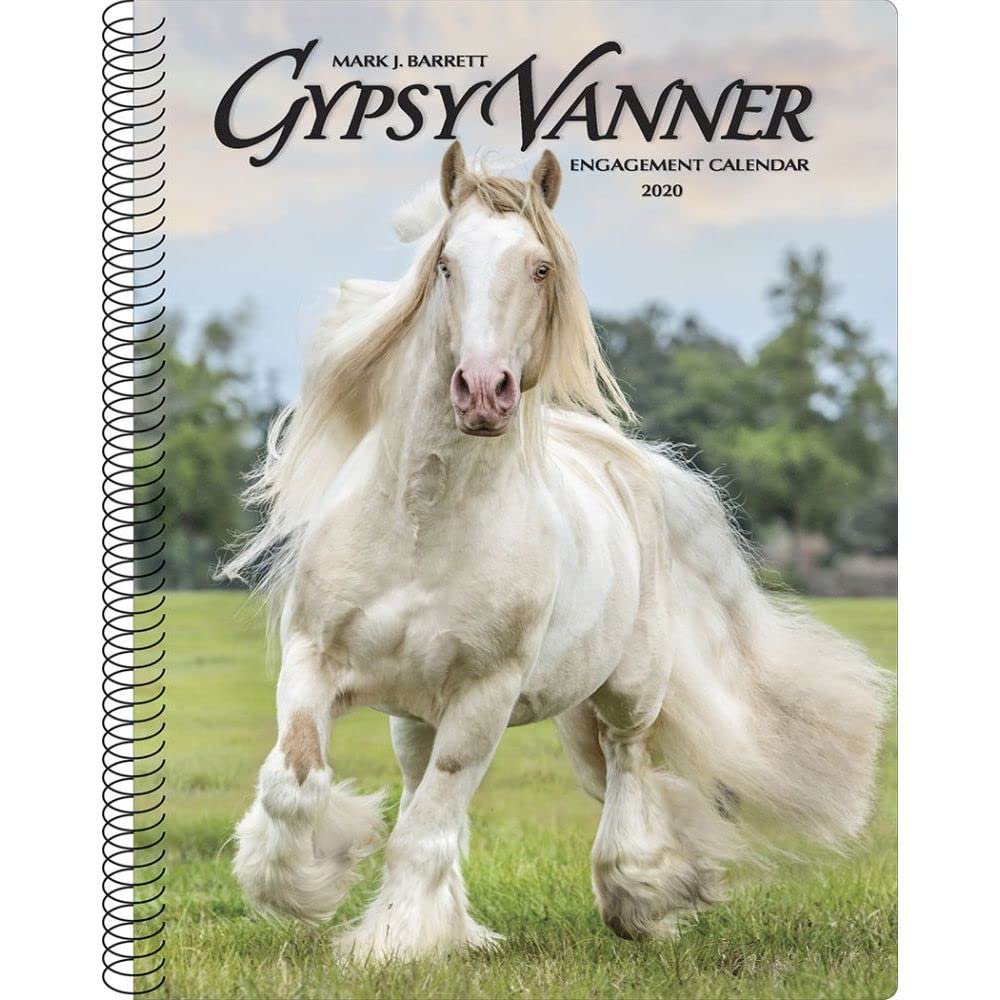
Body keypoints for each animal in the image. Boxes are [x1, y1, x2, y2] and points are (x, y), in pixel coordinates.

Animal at [220, 141, 889, 962]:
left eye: (539, 267)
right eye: (446, 263)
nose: (483, 391)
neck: (420, 530)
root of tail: (626, 469)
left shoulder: (484, 694)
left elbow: (425, 829)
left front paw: (393, 943)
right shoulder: (315, 660)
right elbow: (297, 783)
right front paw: (298, 885)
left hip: (630, 686)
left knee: (628, 763)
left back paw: (641, 894)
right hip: (413, 714)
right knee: (423, 785)